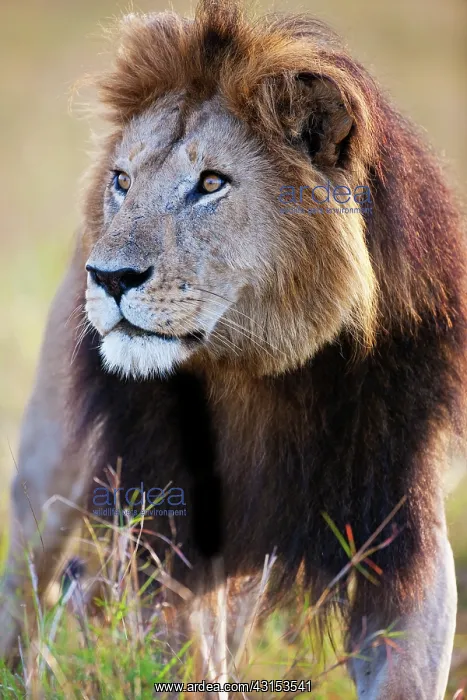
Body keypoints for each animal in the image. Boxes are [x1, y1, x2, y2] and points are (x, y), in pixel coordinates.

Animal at [1, 1, 465, 697]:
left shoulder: (403, 530)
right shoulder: (171, 531)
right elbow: (185, 656)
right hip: (50, 468)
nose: (107, 277)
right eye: (122, 181)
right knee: (25, 586)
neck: (265, 370)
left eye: (212, 182)